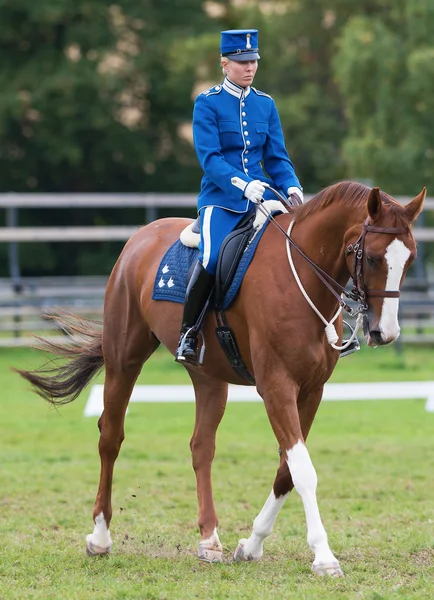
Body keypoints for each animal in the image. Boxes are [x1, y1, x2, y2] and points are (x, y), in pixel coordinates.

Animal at [15, 182, 426, 576]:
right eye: (371, 257)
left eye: (409, 259)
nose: (384, 333)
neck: (301, 278)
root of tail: (142, 236)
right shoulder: (276, 386)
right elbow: (303, 471)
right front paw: (324, 558)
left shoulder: (312, 391)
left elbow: (287, 471)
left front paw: (251, 545)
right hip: (123, 359)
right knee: (110, 438)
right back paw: (100, 537)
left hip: (209, 377)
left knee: (201, 446)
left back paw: (209, 540)